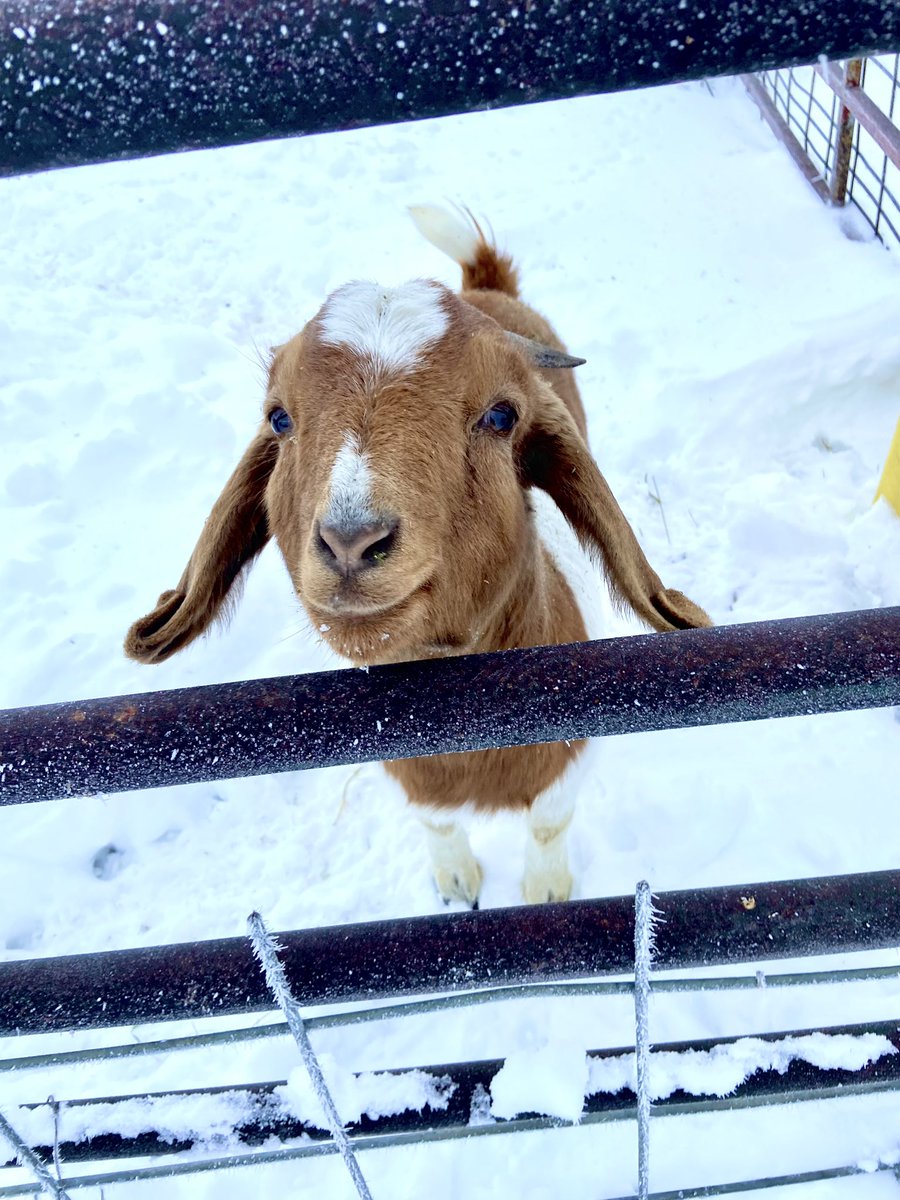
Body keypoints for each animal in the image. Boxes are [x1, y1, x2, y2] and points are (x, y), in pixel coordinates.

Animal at [125, 206, 711, 906]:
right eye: (279, 419)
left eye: (502, 415)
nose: (352, 540)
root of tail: (485, 281)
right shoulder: (411, 781)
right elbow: (438, 824)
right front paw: (457, 884)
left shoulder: (568, 764)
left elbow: (549, 824)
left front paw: (546, 891)